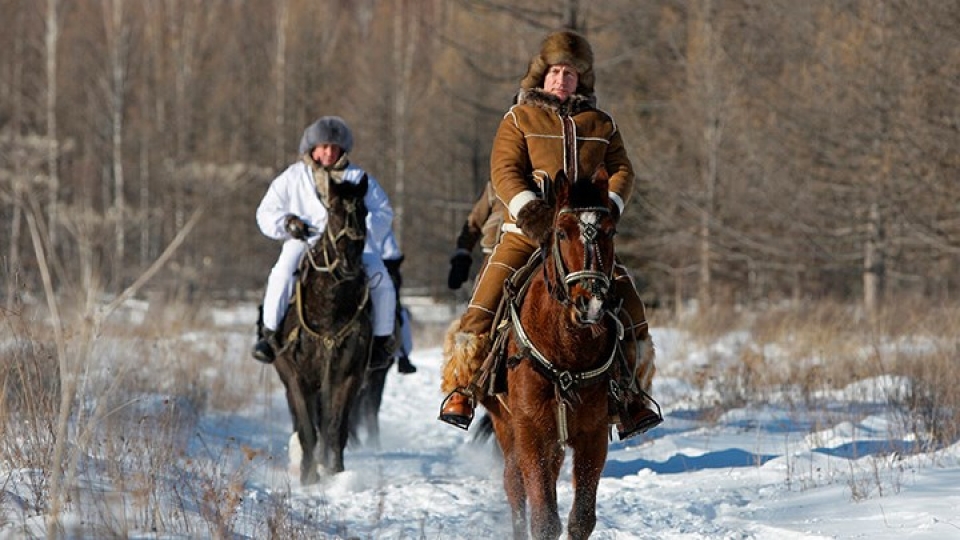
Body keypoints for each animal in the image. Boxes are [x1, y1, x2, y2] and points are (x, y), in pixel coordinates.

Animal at [274, 175, 376, 484]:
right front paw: (309, 477)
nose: (349, 260)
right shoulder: (297, 377)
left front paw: (335, 472)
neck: (328, 311)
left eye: (364, 211)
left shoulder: (348, 375)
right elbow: (308, 428)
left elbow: (336, 426)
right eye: (332, 211)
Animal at [484, 169, 620, 540]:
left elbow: (581, 518)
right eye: (561, 232)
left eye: (610, 231)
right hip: (506, 427)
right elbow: (544, 518)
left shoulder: (593, 434)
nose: (592, 304)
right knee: (514, 487)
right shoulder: (530, 431)